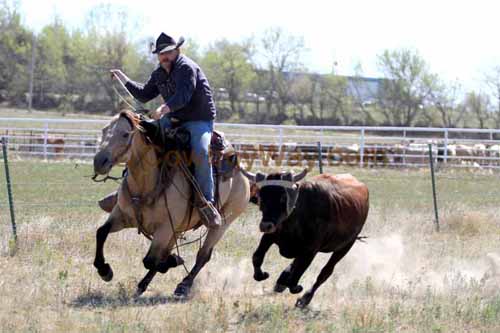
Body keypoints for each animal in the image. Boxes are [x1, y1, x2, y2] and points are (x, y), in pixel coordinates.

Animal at [91, 109, 250, 298]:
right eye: (103, 130)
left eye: (125, 134)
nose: (99, 161)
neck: (146, 184)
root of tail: (239, 167)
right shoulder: (121, 216)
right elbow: (101, 232)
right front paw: (104, 270)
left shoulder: (165, 228)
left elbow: (151, 259)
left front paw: (174, 260)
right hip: (178, 228)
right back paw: (142, 285)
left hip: (223, 223)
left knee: (203, 255)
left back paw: (183, 285)